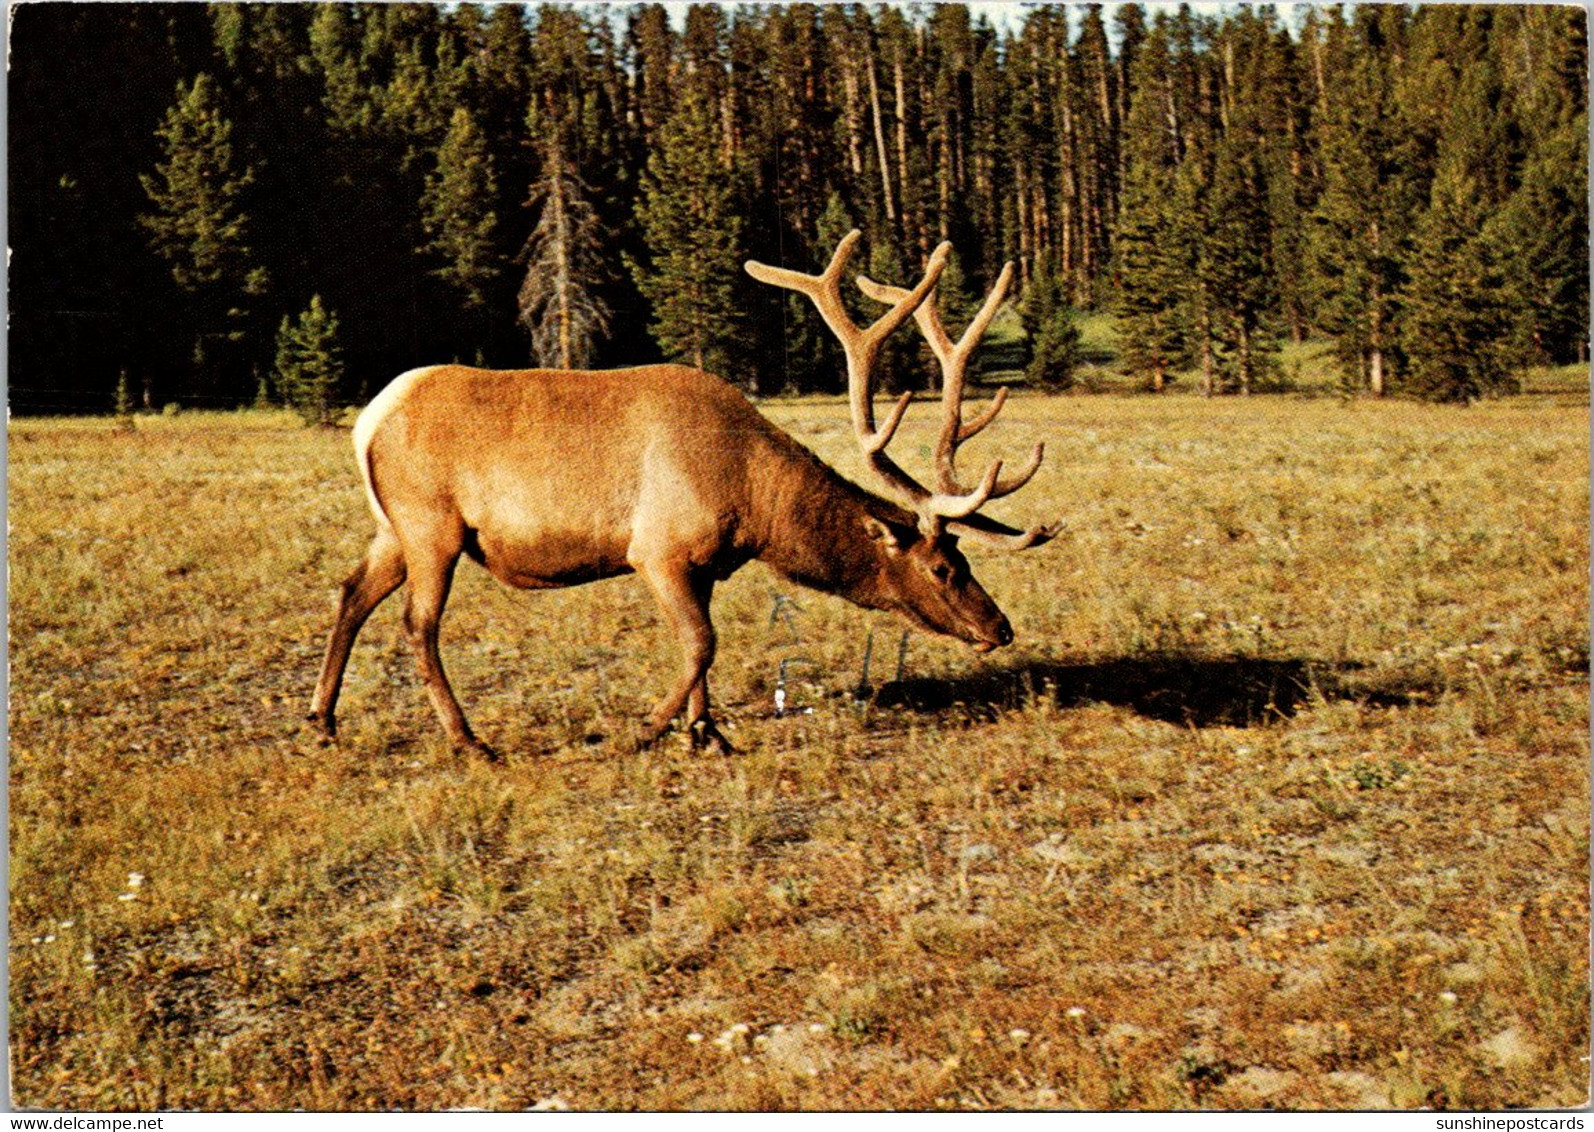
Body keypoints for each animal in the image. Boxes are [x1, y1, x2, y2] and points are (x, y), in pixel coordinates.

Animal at [307, 231, 1058, 762]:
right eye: (943, 567)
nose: (1000, 627)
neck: (755, 502)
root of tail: (370, 418)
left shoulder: (706, 563)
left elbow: (703, 645)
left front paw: (707, 732)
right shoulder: (658, 549)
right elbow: (701, 643)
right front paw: (648, 730)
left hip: (393, 528)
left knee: (350, 593)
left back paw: (321, 719)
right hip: (431, 525)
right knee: (417, 624)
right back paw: (468, 740)